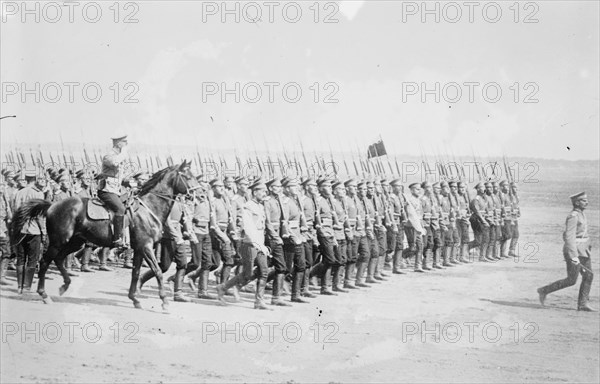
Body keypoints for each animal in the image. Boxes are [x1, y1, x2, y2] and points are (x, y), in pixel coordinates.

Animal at [11, 160, 198, 310]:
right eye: (187, 176)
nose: (200, 193)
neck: (149, 207)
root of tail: (51, 205)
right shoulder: (146, 247)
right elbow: (158, 271)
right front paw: (164, 301)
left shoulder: (139, 248)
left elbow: (136, 273)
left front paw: (134, 298)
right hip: (58, 241)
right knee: (44, 262)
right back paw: (44, 294)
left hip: (75, 242)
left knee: (58, 259)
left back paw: (65, 285)